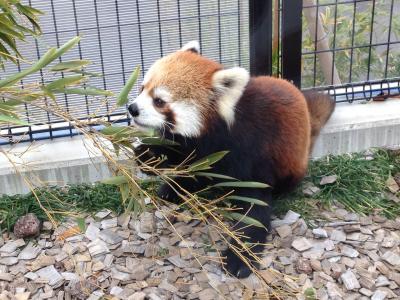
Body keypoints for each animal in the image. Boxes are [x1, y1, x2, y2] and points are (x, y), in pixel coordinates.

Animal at [129, 41, 334, 278]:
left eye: (159, 101)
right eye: (142, 88)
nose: (132, 108)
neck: (216, 131)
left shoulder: (250, 151)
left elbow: (254, 207)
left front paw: (239, 257)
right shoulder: (194, 145)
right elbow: (180, 154)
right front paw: (149, 155)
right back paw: (175, 188)